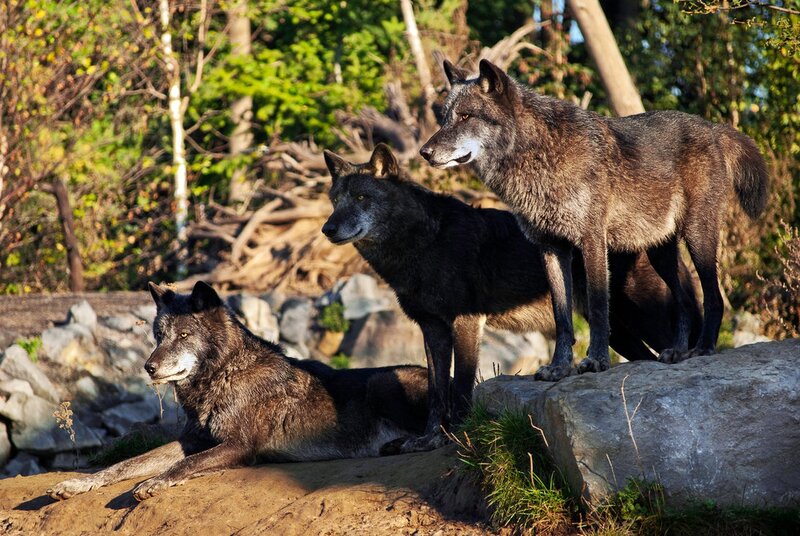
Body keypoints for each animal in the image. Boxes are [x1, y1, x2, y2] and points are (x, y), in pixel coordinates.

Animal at [47, 281, 428, 501]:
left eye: (184, 335)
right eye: (159, 336)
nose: (149, 367)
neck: (223, 374)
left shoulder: (239, 446)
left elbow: (186, 464)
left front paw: (154, 483)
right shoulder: (193, 440)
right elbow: (125, 464)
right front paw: (78, 484)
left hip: (383, 382)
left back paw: (403, 444)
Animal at [322, 144, 700, 452]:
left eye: (361, 199)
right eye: (335, 201)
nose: (328, 229)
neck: (424, 243)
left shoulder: (466, 322)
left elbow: (461, 387)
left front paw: (458, 436)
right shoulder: (432, 329)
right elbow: (436, 392)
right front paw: (428, 439)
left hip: (646, 316)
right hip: (616, 332)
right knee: (642, 357)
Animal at [420, 59, 768, 381]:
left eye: (466, 116)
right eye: (445, 117)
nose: (425, 152)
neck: (539, 152)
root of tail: (713, 128)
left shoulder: (592, 240)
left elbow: (600, 306)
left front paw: (596, 361)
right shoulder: (552, 248)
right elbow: (562, 317)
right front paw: (558, 368)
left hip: (697, 236)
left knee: (713, 297)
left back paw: (704, 347)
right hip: (661, 252)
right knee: (683, 300)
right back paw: (679, 351)